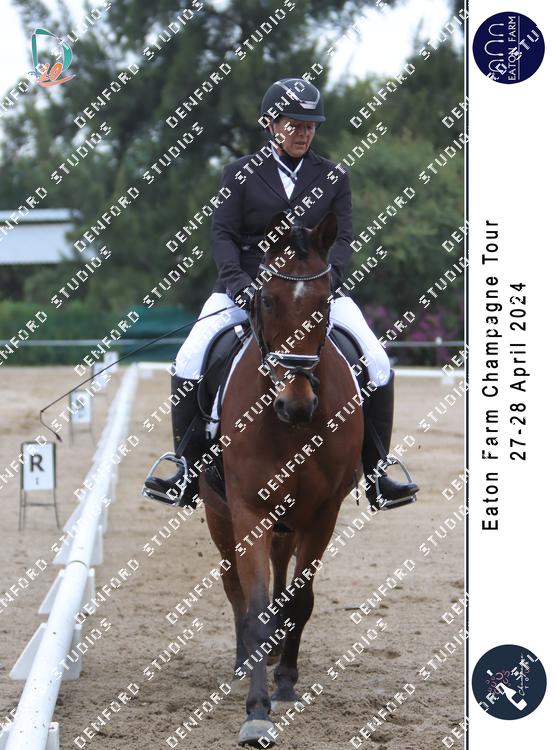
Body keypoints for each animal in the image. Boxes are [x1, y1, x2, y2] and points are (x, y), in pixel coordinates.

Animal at [199, 211, 364, 747]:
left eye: (324, 301)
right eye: (266, 298)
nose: (297, 405)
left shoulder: (323, 512)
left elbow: (301, 599)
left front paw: (286, 682)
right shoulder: (248, 508)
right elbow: (252, 605)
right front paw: (256, 711)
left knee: (281, 570)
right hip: (219, 512)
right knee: (233, 583)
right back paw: (243, 662)